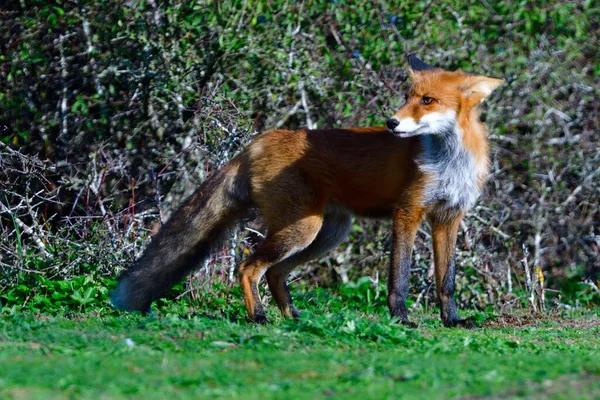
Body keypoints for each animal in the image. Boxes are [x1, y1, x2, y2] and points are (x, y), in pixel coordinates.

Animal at [111, 54, 502, 328]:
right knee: (248, 266)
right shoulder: (408, 212)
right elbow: (400, 276)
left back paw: (293, 318)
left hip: (326, 233)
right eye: (407, 97)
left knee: (274, 272)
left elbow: (446, 280)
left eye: (428, 100)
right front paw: (401, 319)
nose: (391, 123)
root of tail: (259, 141)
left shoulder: (448, 217)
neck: (449, 163)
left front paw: (452, 321)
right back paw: (258, 317)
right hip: (304, 229)